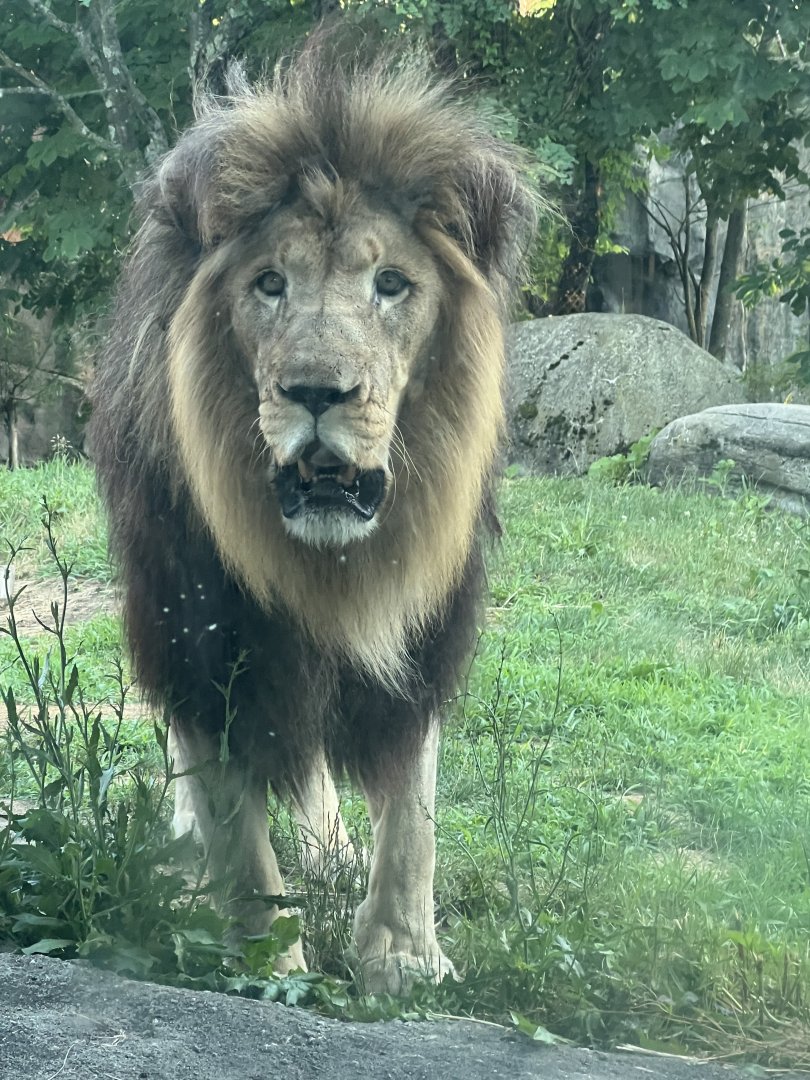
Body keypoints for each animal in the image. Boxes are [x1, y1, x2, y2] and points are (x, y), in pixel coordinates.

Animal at [90, 37, 535, 993]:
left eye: (392, 284)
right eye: (269, 285)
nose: (318, 393)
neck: (328, 561)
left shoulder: (424, 630)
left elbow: (413, 813)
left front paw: (402, 956)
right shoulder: (203, 638)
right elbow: (237, 823)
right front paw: (269, 961)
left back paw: (332, 856)